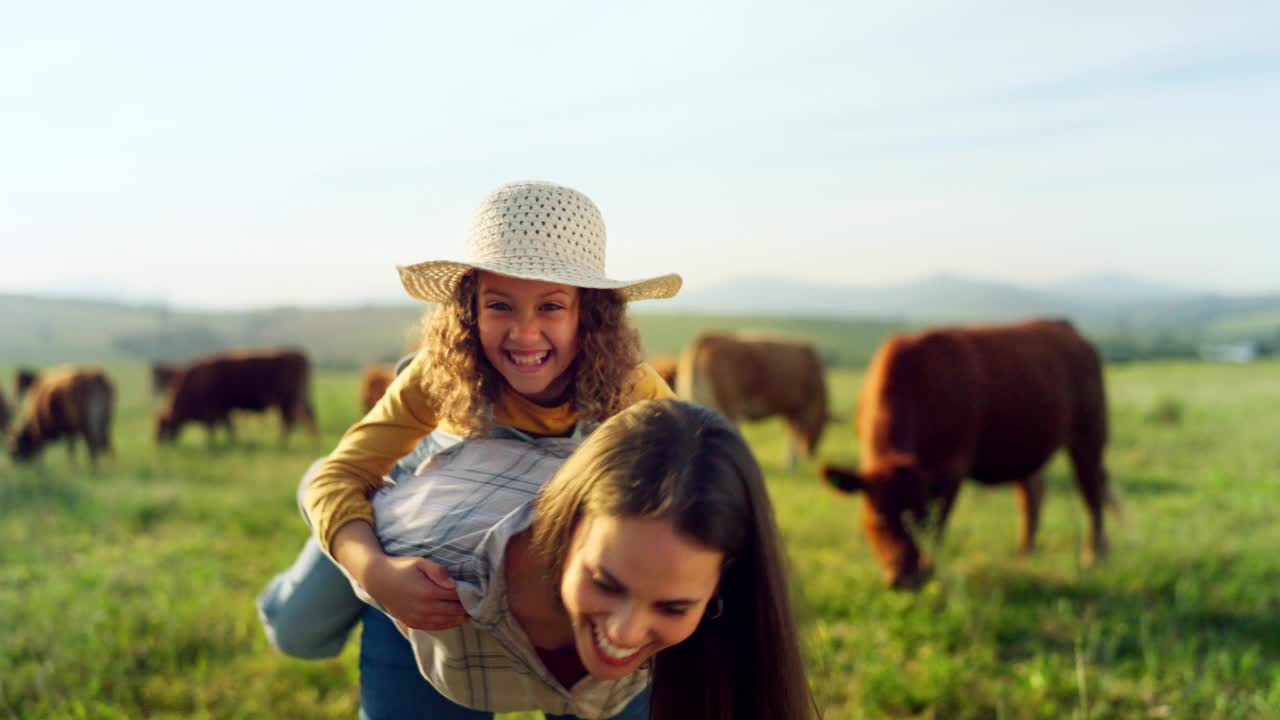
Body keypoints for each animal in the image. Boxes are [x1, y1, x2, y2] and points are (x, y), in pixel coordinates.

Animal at [156, 345, 318, 443]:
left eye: (162, 427)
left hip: (287, 400)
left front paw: (214, 443)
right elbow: (227, 426)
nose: (158, 444)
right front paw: (231, 442)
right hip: (296, 398)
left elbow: (216, 428)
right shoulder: (222, 410)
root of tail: (299, 353)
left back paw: (282, 443)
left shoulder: (214, 410)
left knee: (289, 421)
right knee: (303, 417)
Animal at [675, 330, 824, 466]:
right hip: (728, 407)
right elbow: (793, 434)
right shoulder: (801, 408)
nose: (809, 452)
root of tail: (701, 342)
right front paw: (792, 462)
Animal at [819, 316, 1111, 586]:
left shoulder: (952, 469)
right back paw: (1024, 555)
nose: (905, 579)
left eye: (921, 518)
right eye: (879, 518)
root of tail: (1069, 329)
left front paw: (931, 570)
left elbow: (940, 525)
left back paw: (1093, 557)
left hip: (1089, 437)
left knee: (1093, 495)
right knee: (1033, 495)